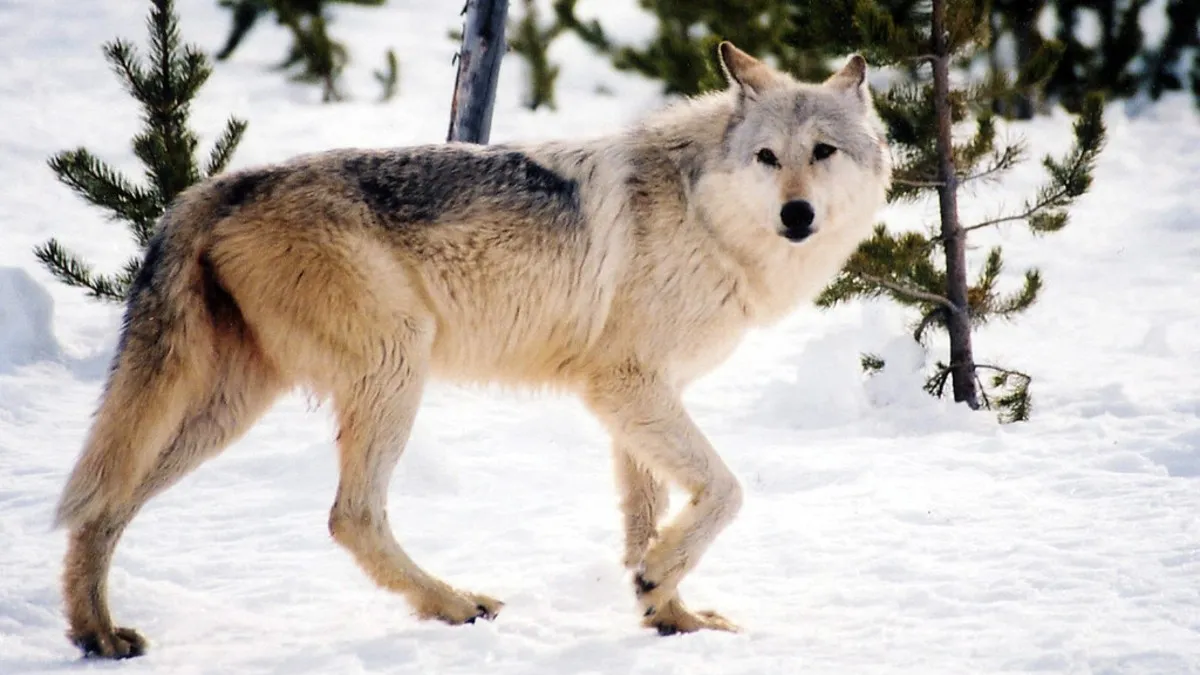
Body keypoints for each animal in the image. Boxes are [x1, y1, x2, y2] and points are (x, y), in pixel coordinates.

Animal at [51, 39, 892, 653]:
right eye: (767, 157)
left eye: (822, 152)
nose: (796, 215)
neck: (704, 213)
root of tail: (216, 186)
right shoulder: (624, 385)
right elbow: (724, 490)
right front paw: (659, 584)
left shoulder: (640, 397)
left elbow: (646, 519)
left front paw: (669, 613)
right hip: (395, 366)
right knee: (350, 515)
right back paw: (453, 603)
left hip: (227, 407)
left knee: (103, 508)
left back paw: (96, 633)